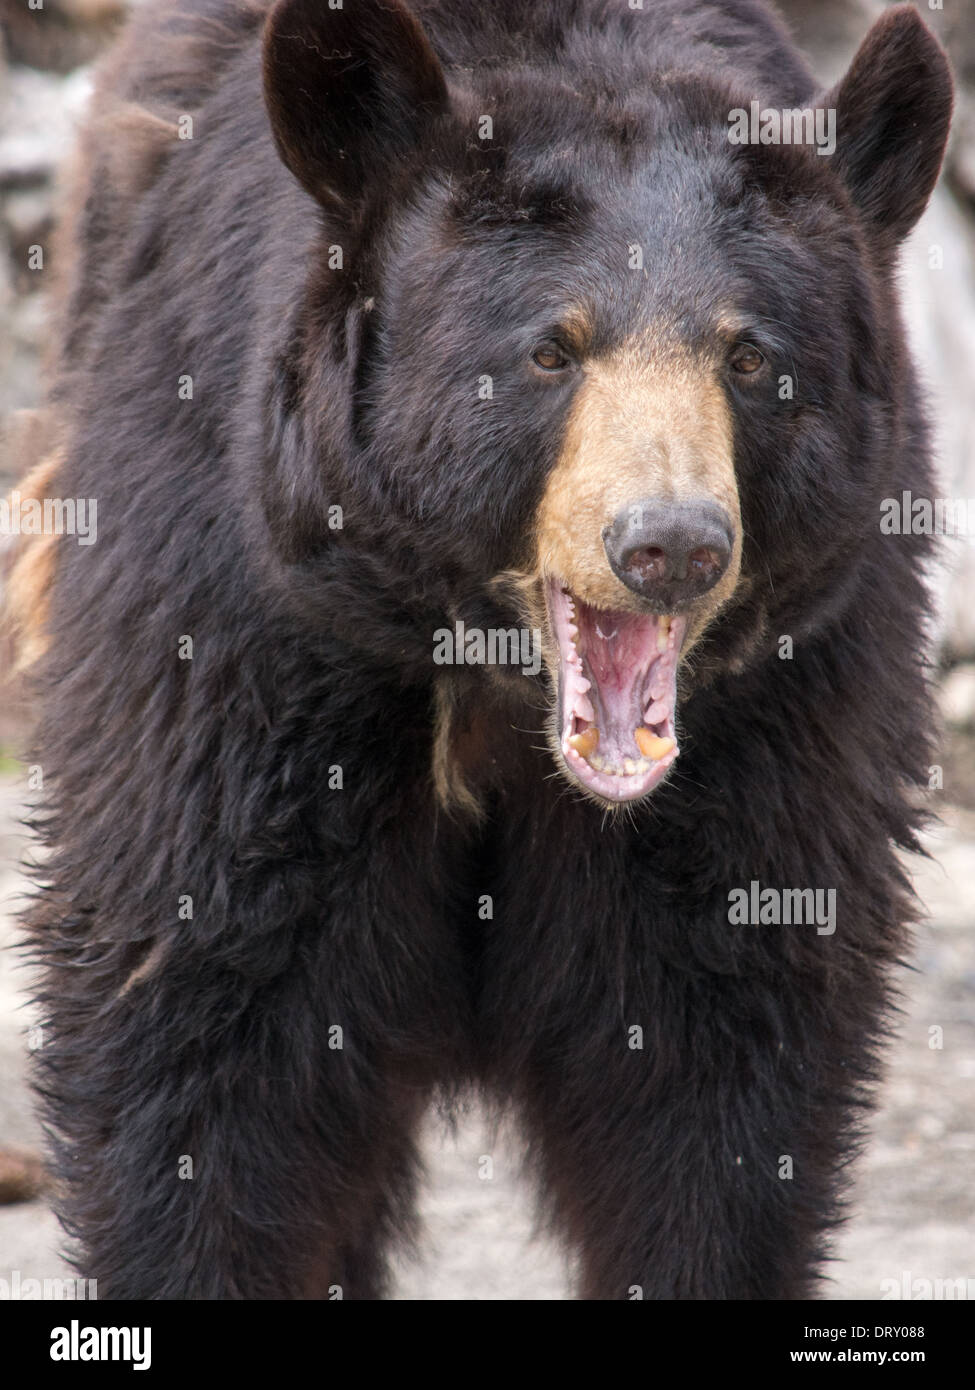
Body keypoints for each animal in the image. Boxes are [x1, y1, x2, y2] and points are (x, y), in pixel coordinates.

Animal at [5, 0, 951, 1301]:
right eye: (553, 350)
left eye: (749, 357)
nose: (670, 545)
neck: (500, 688)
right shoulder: (252, 623)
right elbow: (198, 1018)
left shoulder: (788, 703)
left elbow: (720, 1062)